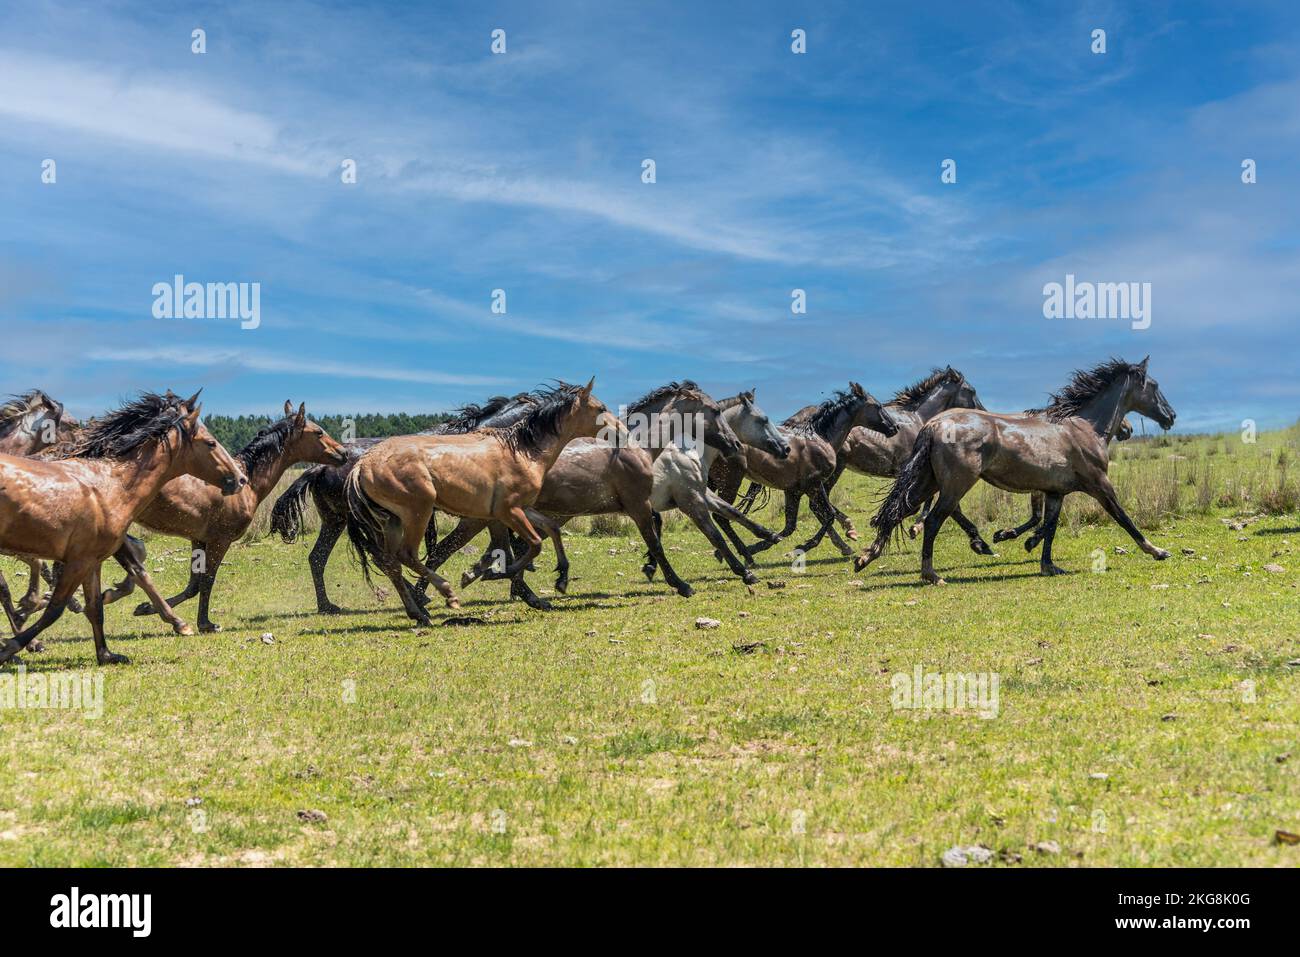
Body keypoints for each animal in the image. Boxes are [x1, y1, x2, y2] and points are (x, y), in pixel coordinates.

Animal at [0, 392, 245, 670]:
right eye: (211, 443)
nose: (240, 479)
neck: (112, 485)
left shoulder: (91, 561)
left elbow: (96, 607)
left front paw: (107, 655)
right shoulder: (78, 561)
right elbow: (55, 608)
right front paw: (11, 647)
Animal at [129, 400, 348, 631]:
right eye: (318, 432)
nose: (343, 453)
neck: (247, 483)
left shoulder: (198, 539)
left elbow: (193, 585)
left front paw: (145, 608)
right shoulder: (220, 540)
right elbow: (207, 580)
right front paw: (205, 624)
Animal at [269, 395, 538, 613]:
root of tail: (319, 467)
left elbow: (498, 547)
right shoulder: (476, 517)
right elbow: (448, 550)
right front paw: (522, 590)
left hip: (336, 522)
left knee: (318, 557)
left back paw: (326, 605)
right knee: (379, 556)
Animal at [345, 377, 618, 624]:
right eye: (601, 408)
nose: (620, 433)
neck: (521, 450)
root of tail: (361, 466)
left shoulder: (512, 510)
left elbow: (548, 530)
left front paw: (560, 579)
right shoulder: (506, 512)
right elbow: (532, 544)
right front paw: (495, 575)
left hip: (390, 522)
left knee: (391, 562)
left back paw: (418, 612)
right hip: (418, 512)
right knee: (407, 555)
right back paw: (445, 594)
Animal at [857, 358, 1175, 582]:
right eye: (1155, 386)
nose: (1171, 416)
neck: (1085, 427)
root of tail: (933, 424)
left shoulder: (1055, 492)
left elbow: (1050, 526)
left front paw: (1046, 564)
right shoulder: (1100, 485)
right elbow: (1123, 518)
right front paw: (1157, 551)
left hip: (928, 482)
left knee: (897, 511)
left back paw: (865, 557)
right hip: (955, 487)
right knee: (934, 520)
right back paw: (932, 574)